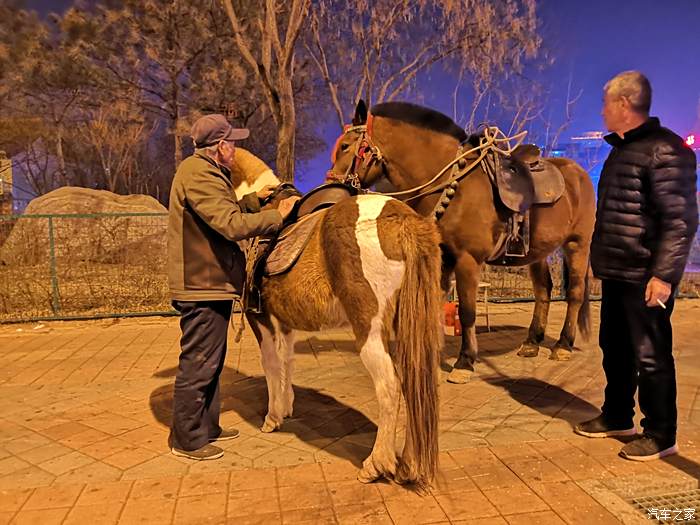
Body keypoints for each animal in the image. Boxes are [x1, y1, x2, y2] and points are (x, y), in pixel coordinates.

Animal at [235, 180, 442, 488]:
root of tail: (404, 220)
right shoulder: (284, 322)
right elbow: (287, 362)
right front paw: (286, 407)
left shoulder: (260, 318)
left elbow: (271, 364)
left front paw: (272, 418)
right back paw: (407, 465)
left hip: (370, 331)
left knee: (389, 386)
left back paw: (375, 465)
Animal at [328, 100, 596, 382]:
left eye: (345, 146)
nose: (331, 182)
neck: (454, 184)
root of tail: (579, 172)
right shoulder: (443, 258)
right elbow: (435, 307)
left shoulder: (468, 260)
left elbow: (467, 312)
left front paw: (465, 362)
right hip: (537, 251)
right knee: (543, 290)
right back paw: (532, 342)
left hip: (577, 245)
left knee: (575, 292)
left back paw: (563, 345)